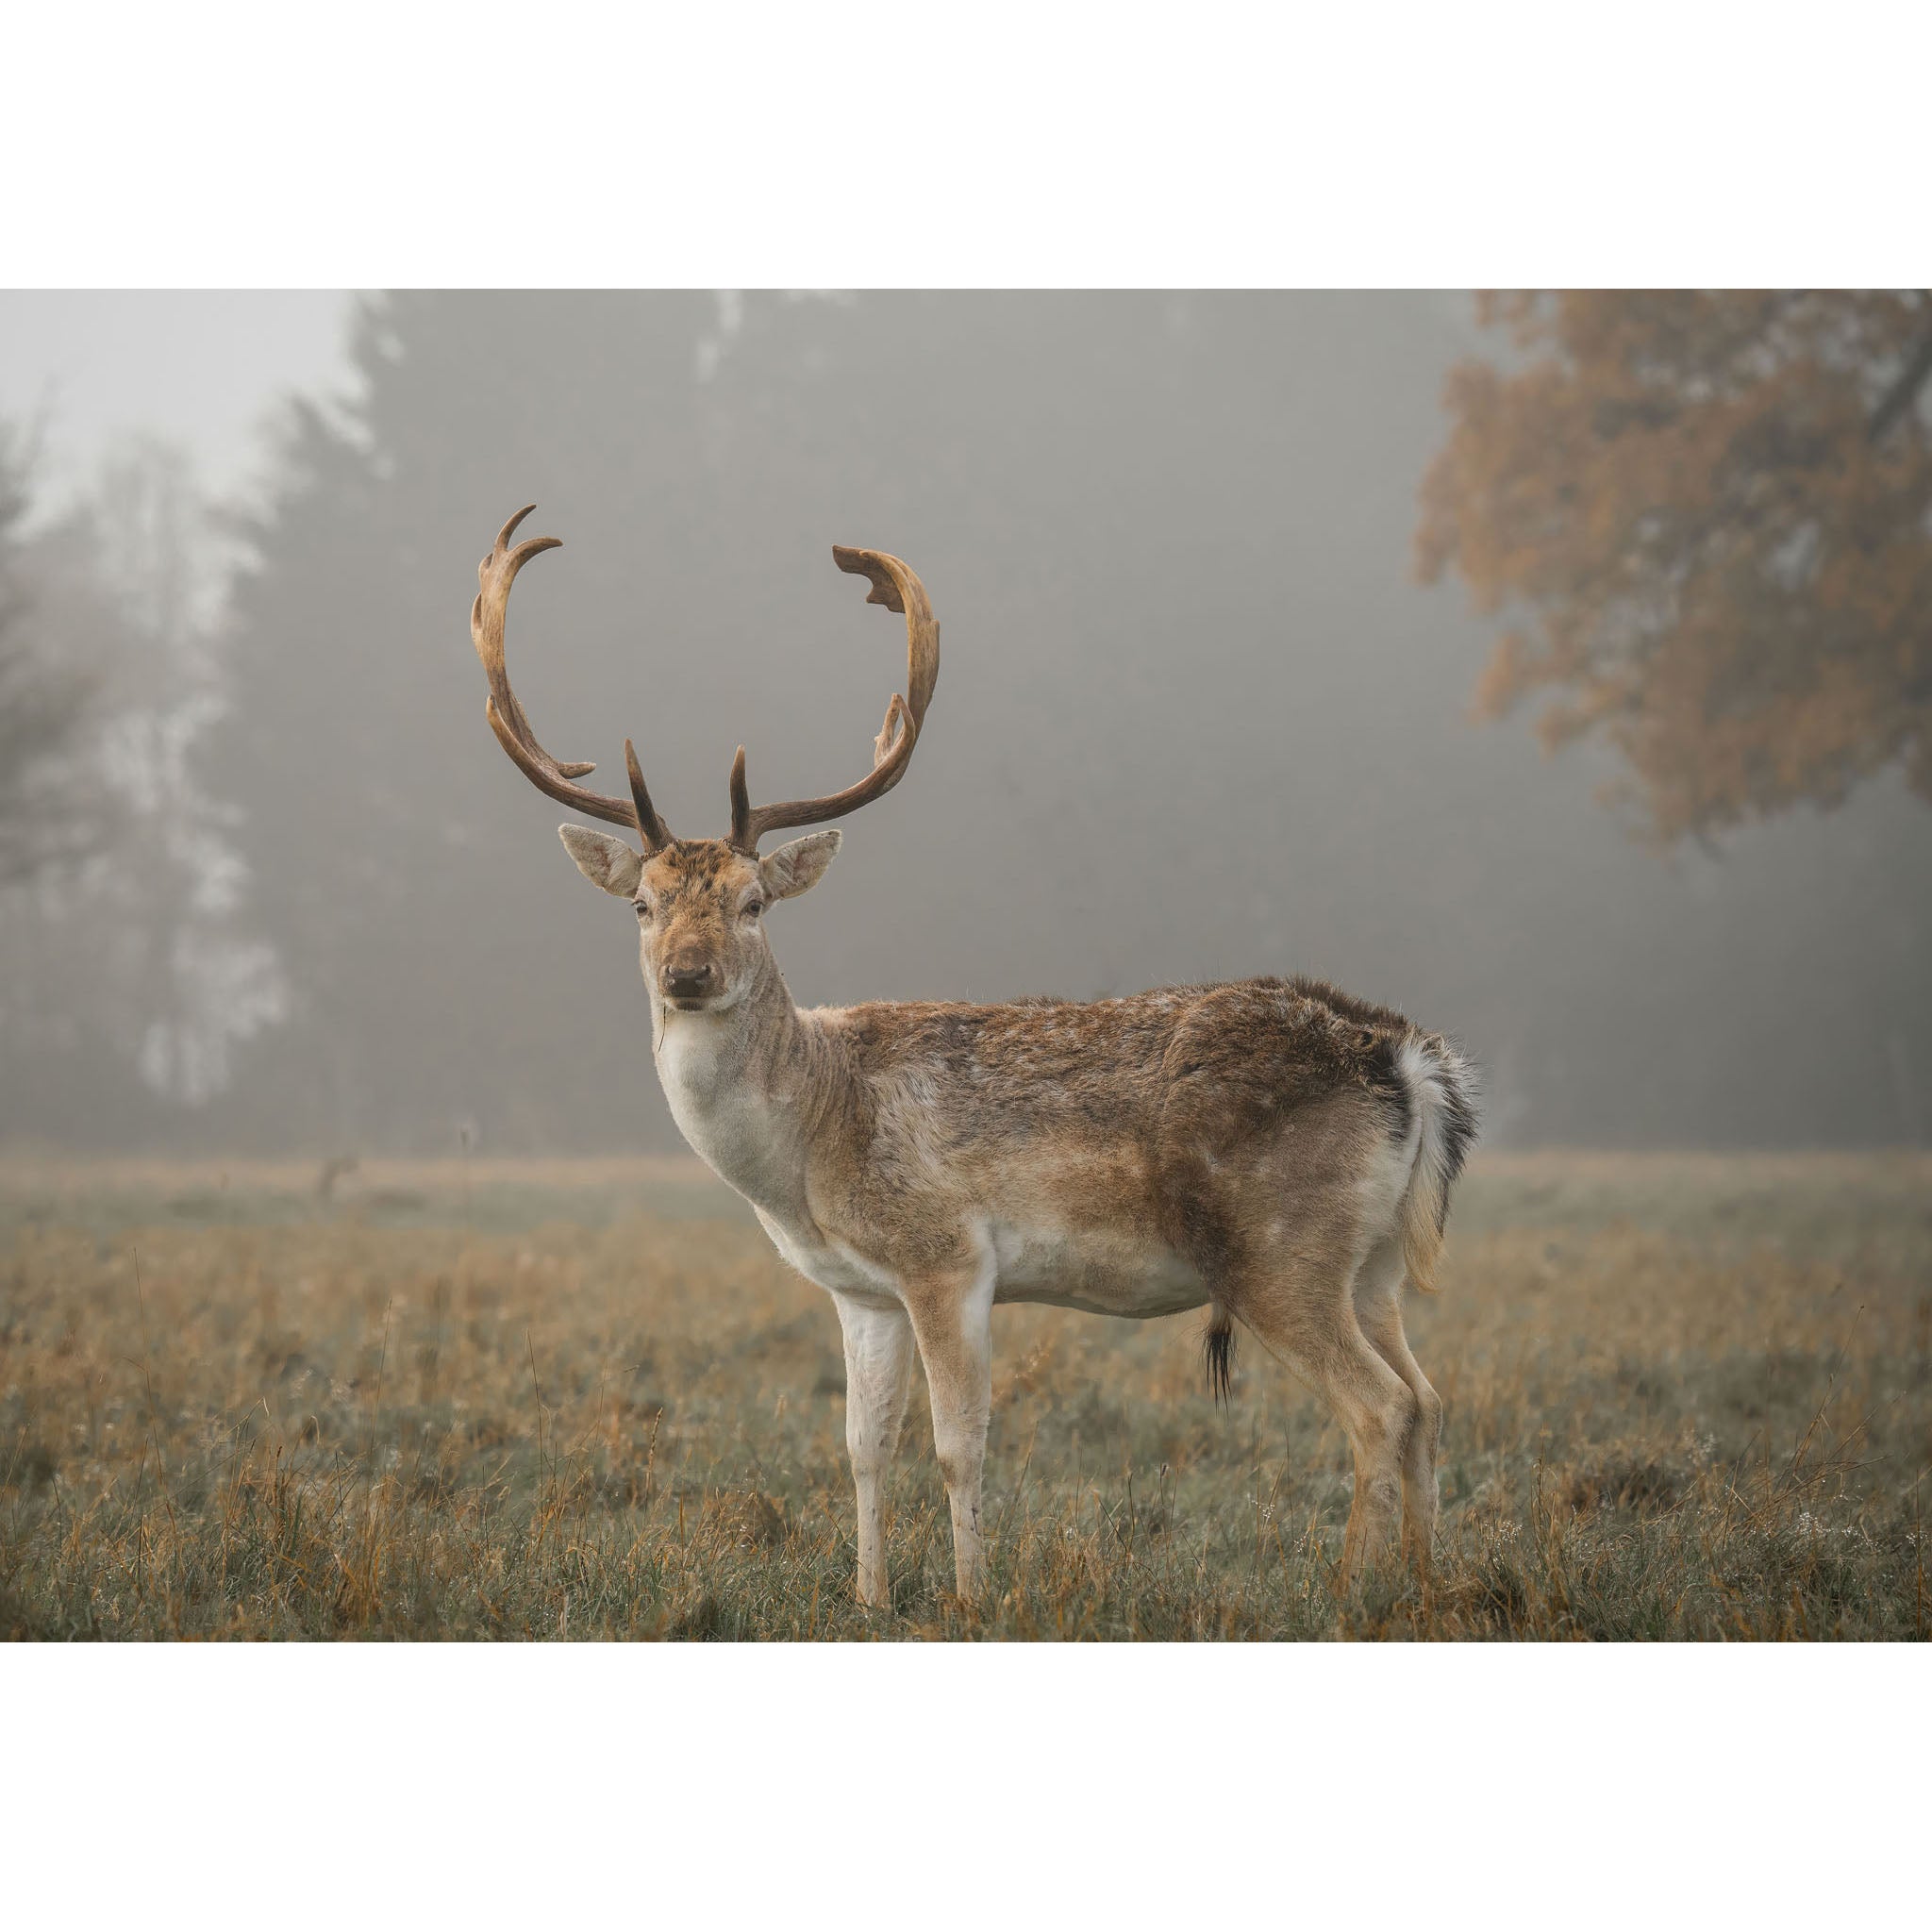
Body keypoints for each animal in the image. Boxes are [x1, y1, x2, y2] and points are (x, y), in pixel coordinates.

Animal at [470, 506, 1478, 1607]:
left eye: (754, 902)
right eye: (643, 905)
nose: (688, 974)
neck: (808, 1150)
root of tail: (1408, 1060)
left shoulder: (945, 1254)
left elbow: (959, 1445)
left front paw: (967, 1596)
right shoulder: (859, 1287)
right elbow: (863, 1446)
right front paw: (867, 1597)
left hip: (1278, 1249)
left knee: (1379, 1406)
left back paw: (1348, 1590)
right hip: (1374, 1261)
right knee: (1428, 1398)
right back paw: (1426, 1586)